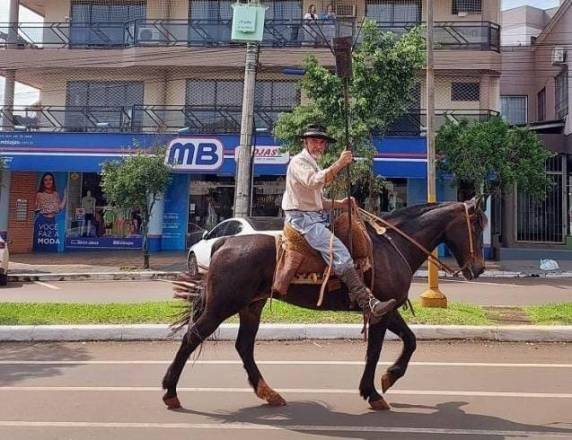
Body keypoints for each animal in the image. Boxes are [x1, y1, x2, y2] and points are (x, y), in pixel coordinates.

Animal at [162, 201, 488, 410]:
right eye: (476, 224)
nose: (479, 269)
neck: (392, 245)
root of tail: (224, 243)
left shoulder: (386, 307)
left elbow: (410, 340)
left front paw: (389, 377)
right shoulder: (379, 313)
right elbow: (375, 352)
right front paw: (373, 392)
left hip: (251, 306)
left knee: (243, 346)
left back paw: (269, 393)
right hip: (222, 305)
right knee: (192, 337)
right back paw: (170, 392)